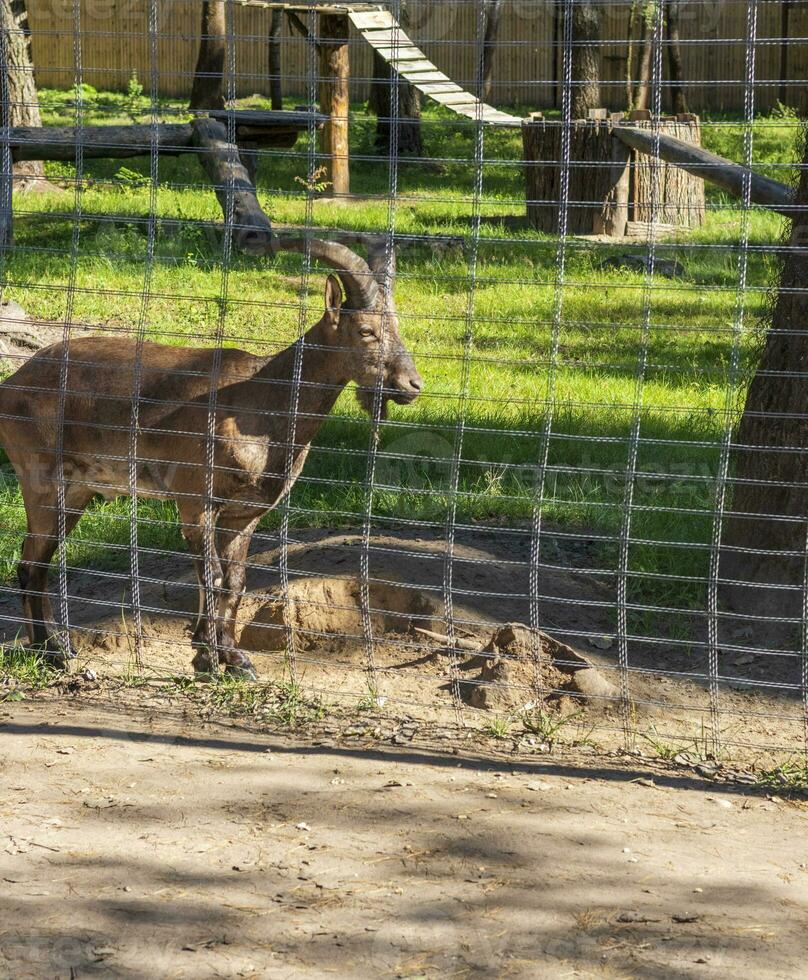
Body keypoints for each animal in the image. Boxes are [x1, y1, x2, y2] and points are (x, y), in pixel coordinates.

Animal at [0, 239, 422, 680]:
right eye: (366, 331)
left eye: (397, 327)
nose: (412, 385)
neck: (263, 403)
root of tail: (11, 385)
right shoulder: (196, 501)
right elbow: (212, 577)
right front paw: (206, 657)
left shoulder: (243, 514)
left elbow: (235, 582)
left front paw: (235, 660)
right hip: (42, 483)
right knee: (31, 564)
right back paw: (51, 651)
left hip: (77, 493)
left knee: (37, 563)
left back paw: (54, 646)